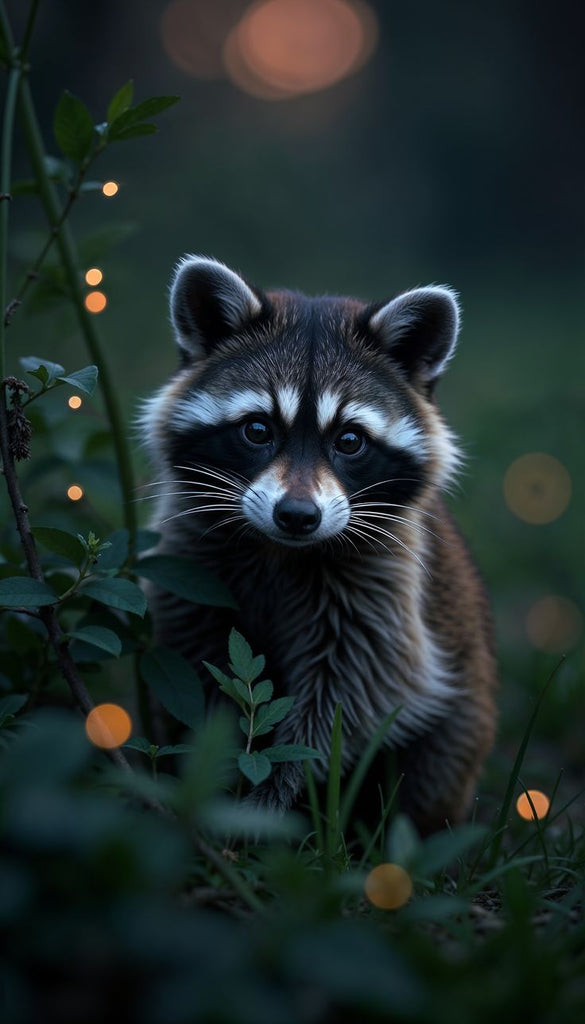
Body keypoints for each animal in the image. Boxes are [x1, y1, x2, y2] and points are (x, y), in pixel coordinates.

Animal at [141, 256, 498, 835]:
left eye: (349, 440)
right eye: (257, 429)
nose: (297, 516)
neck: (278, 548)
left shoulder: (383, 582)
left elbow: (352, 696)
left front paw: (274, 802)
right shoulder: (190, 560)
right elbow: (200, 674)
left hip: (465, 715)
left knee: (435, 763)